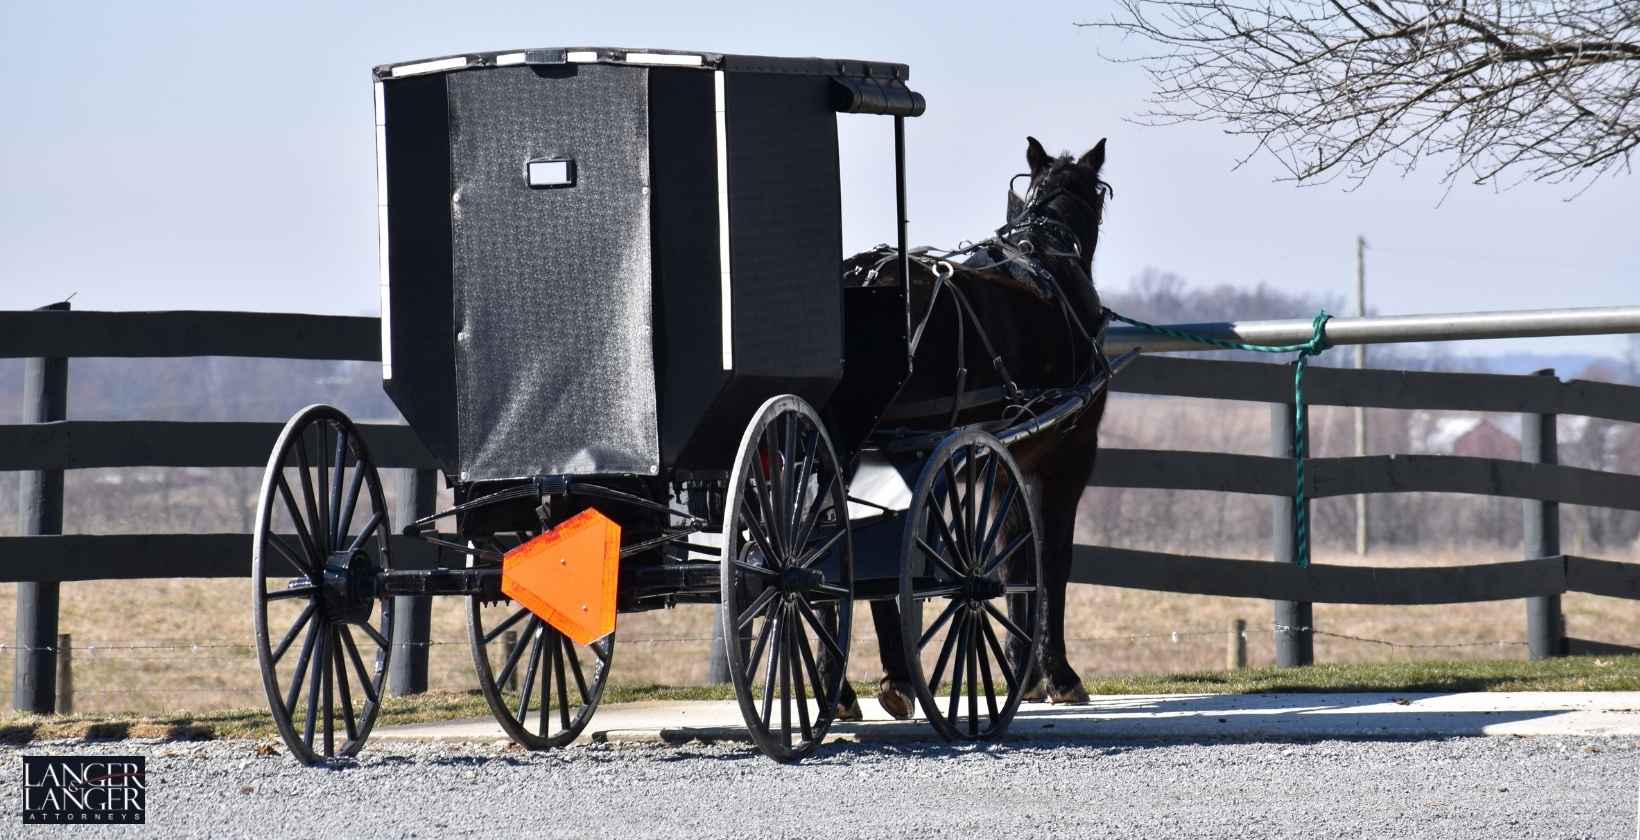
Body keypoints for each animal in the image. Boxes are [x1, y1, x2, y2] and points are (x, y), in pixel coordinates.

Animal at [834, 136, 1112, 716]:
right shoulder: (1070, 456)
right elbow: (1052, 557)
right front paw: (1057, 674)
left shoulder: (1012, 460)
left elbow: (1017, 558)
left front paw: (1023, 671)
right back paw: (895, 677)